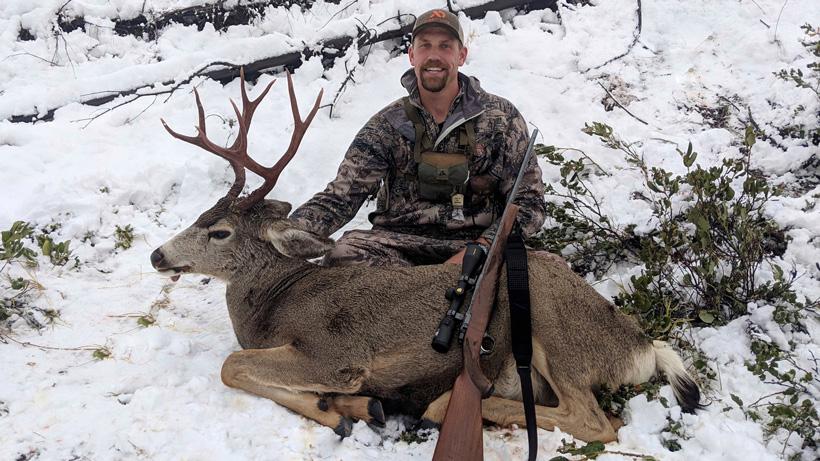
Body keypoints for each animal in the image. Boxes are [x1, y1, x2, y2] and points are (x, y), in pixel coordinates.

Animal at [150, 69, 701, 443]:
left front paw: (339, 409)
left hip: (551, 319)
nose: (157, 255)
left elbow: (232, 364)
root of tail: (641, 347)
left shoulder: (334, 353)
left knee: (597, 422)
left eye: (219, 231)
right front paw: (357, 408)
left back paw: (446, 406)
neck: (273, 306)